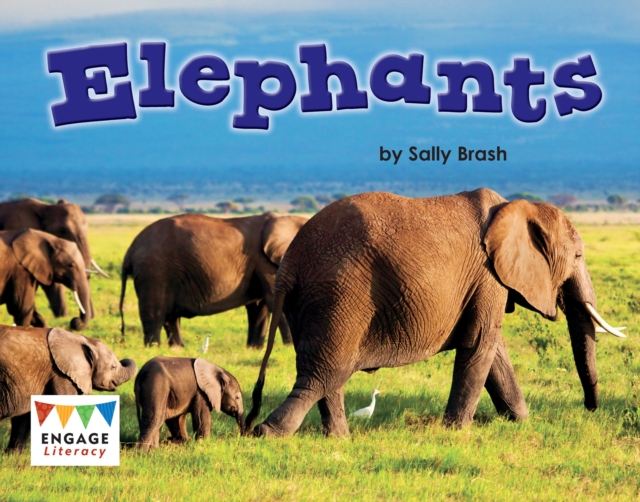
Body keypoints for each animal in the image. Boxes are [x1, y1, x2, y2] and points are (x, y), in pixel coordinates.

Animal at [119, 212, 308, 348]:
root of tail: (131, 250)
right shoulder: (267, 262)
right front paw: (291, 348)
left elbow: (258, 307)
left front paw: (254, 349)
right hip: (154, 272)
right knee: (156, 315)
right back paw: (154, 348)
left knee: (170, 318)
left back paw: (178, 349)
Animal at [245, 189, 626, 437]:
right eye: (578, 256)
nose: (590, 409)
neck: (516, 208)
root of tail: (291, 262)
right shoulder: (488, 276)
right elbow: (480, 345)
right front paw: (457, 431)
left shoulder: (485, 282)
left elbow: (495, 352)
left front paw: (519, 421)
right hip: (339, 296)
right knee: (323, 373)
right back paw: (269, 433)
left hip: (313, 302)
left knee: (328, 375)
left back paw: (338, 438)